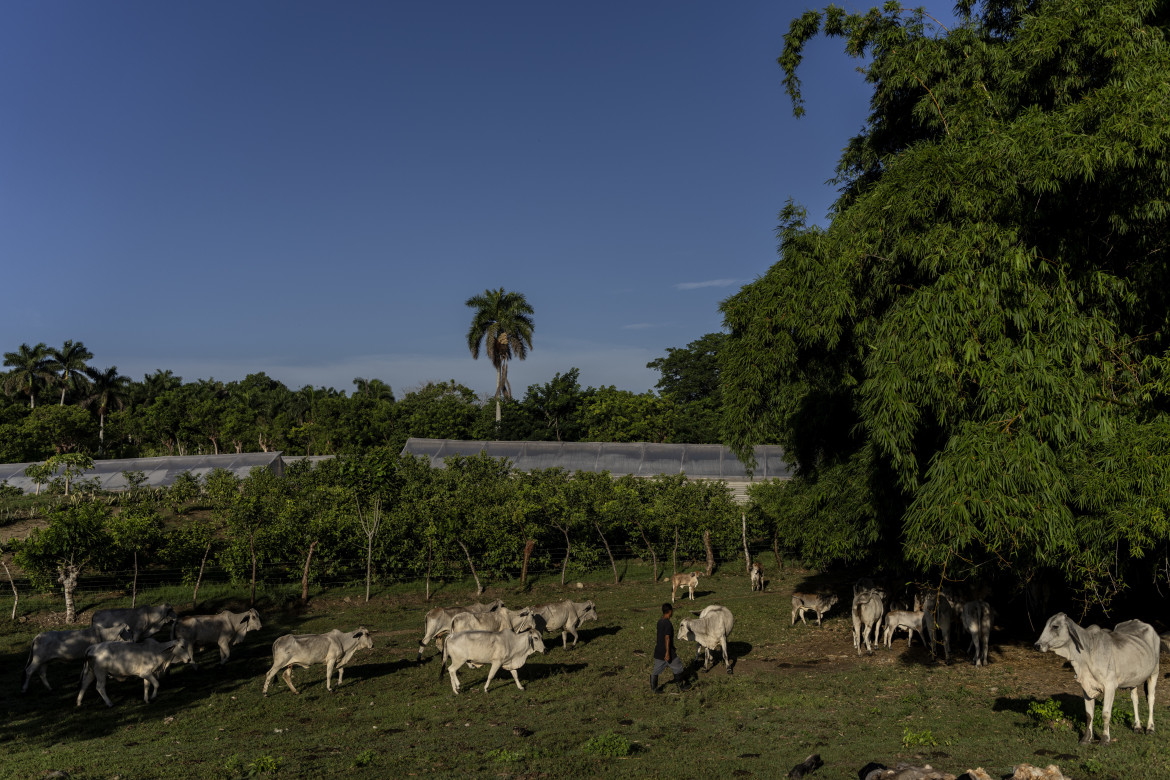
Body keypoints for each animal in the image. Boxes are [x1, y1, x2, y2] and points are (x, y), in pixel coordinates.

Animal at [1038, 612, 1165, 748]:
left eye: (1055, 626)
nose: (1037, 645)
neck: (1087, 654)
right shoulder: (1086, 687)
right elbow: (1089, 714)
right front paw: (1086, 739)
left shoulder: (1110, 686)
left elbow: (1105, 714)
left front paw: (1105, 739)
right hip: (1134, 678)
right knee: (1134, 699)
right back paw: (1137, 727)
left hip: (1154, 672)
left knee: (1151, 699)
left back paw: (1150, 728)